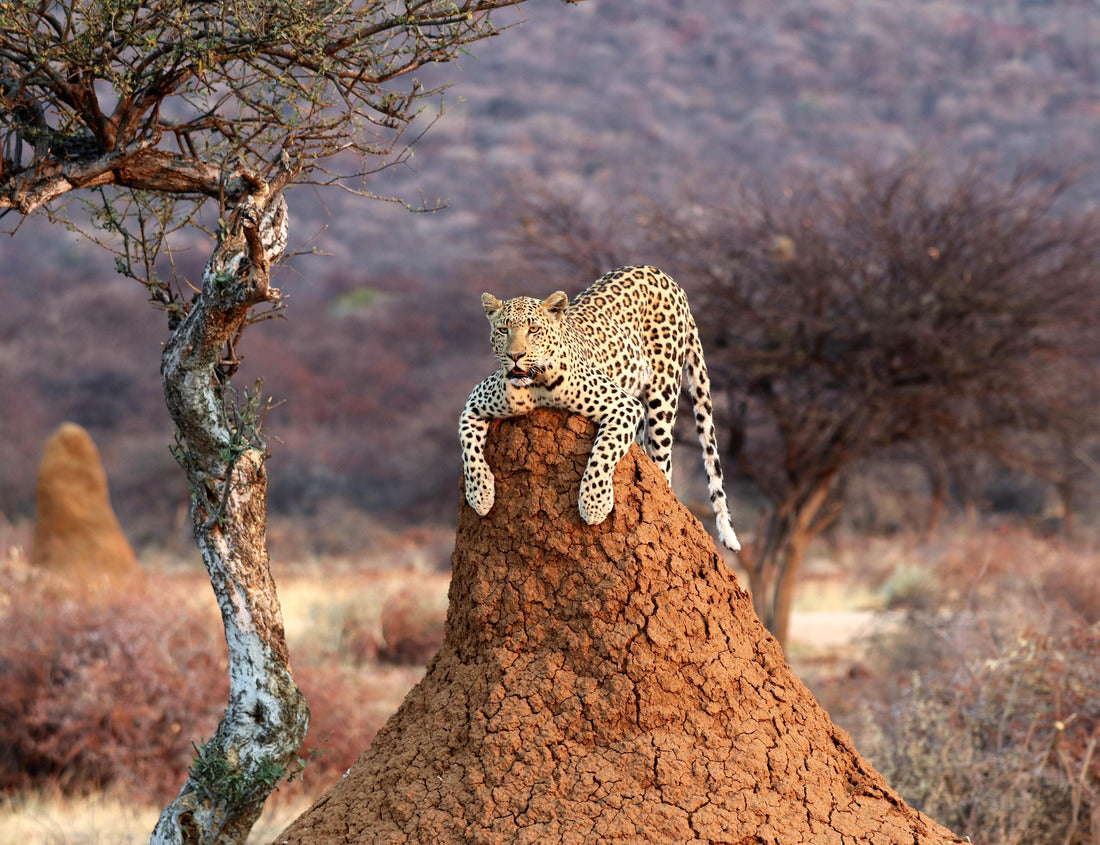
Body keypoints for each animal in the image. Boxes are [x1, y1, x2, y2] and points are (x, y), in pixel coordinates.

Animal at [459, 264, 740, 552]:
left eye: (534, 329)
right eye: (503, 330)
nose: (515, 356)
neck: (536, 384)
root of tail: (663, 274)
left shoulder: (623, 405)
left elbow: (603, 452)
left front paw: (594, 504)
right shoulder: (474, 404)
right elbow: (469, 449)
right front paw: (480, 494)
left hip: (663, 394)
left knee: (664, 465)